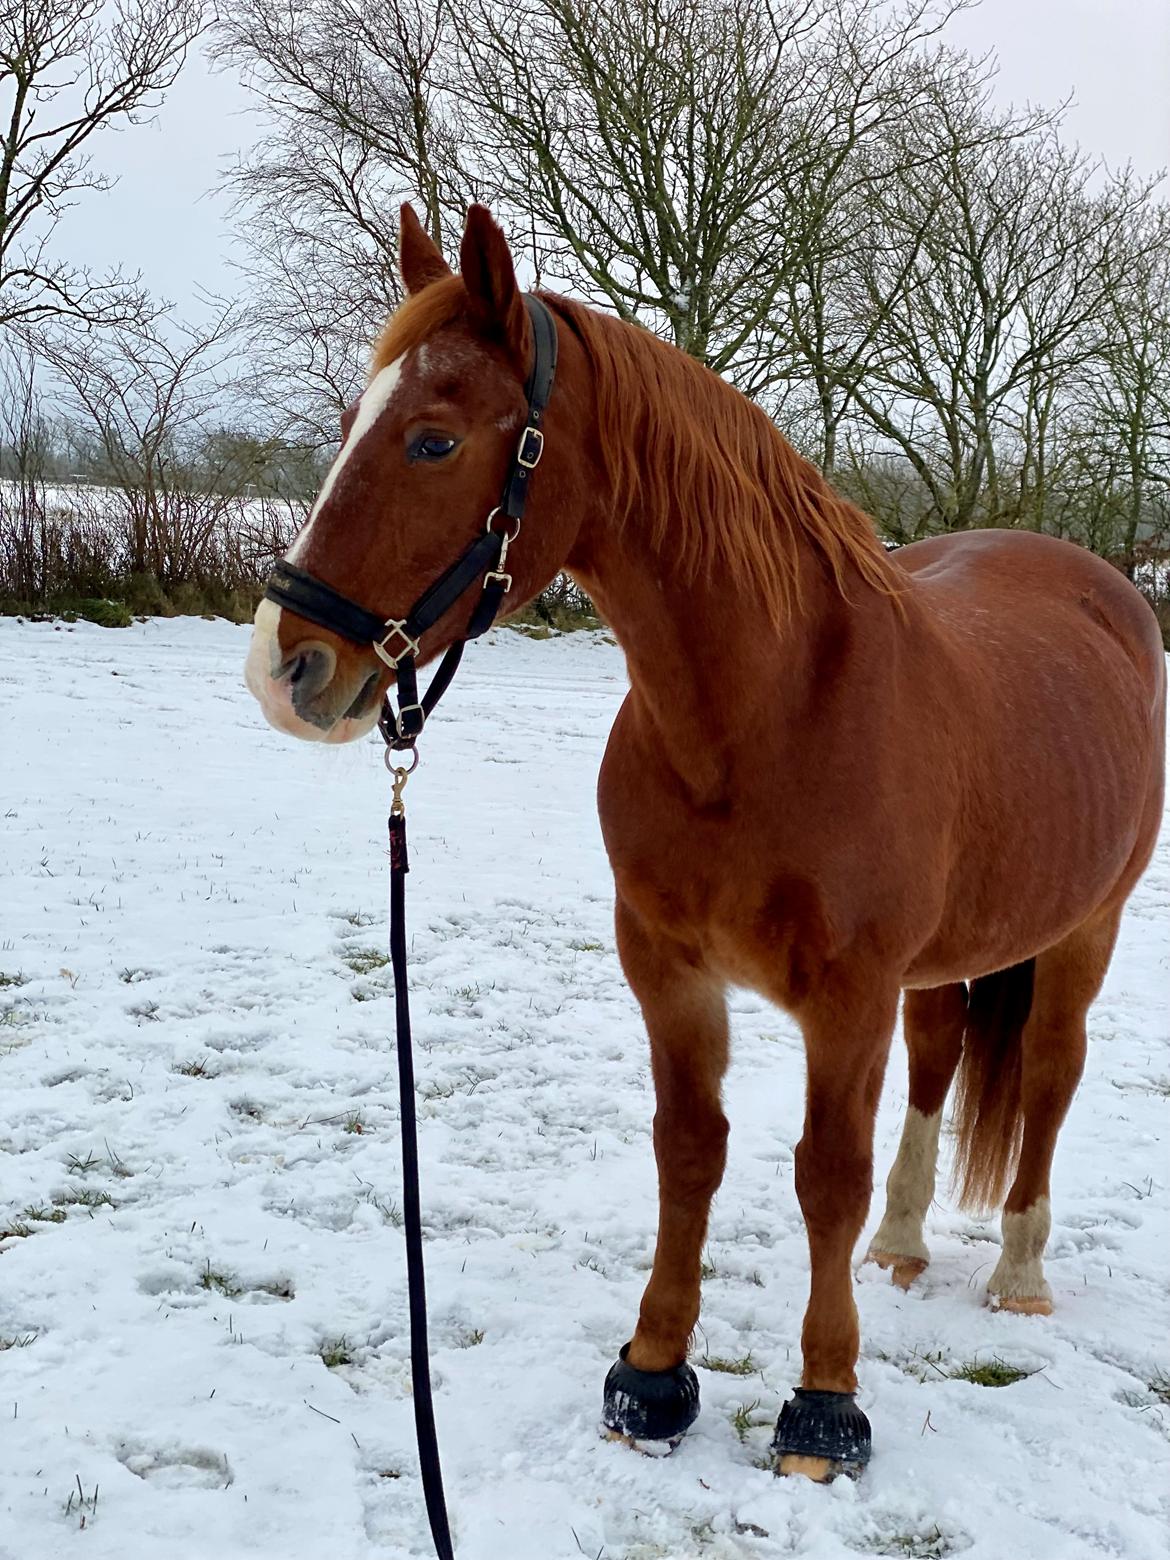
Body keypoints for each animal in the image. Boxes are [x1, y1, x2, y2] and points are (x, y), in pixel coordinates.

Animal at [243, 201, 1166, 1478]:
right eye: (346, 428)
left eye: (432, 441)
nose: (285, 668)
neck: (766, 716)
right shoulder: (668, 967)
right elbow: (690, 1151)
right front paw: (651, 1379)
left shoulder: (848, 996)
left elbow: (825, 1175)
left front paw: (824, 1408)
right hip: (946, 961)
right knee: (939, 1062)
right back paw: (903, 1245)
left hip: (1085, 930)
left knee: (1051, 1071)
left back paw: (1019, 1271)